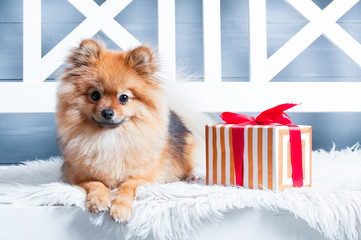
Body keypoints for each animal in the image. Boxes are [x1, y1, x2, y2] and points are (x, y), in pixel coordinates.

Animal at [55, 39, 200, 221]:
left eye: (123, 98)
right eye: (95, 95)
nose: (107, 112)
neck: (110, 138)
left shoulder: (143, 177)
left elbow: (126, 187)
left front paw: (120, 209)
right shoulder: (78, 177)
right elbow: (95, 183)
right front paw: (98, 201)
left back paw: (193, 175)